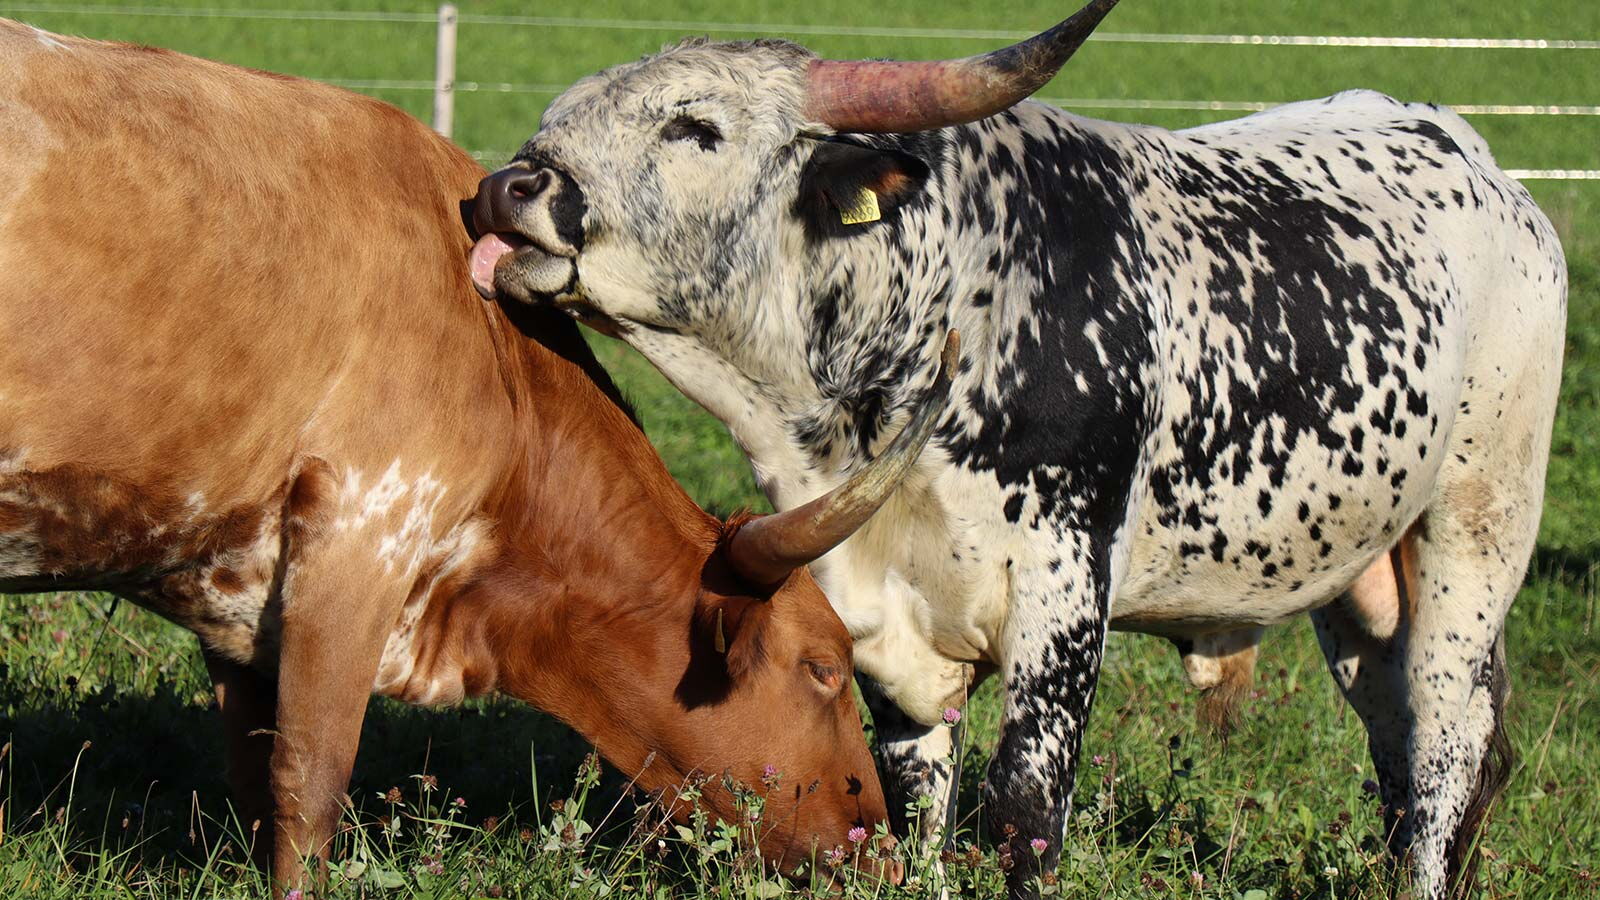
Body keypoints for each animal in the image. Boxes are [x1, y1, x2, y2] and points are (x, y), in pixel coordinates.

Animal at [0, 18, 956, 889]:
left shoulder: (240, 610)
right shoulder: (358, 540)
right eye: (825, 669)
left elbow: (254, 778)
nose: (879, 848)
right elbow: (308, 786)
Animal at [465, 0, 1568, 896]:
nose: (506, 187)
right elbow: (914, 794)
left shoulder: (1063, 587)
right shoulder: (877, 609)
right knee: (1396, 735)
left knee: (1446, 741)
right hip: (1358, 574)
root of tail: (1469, 154)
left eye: (696, 127)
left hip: (1478, 525)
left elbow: (1023, 810)